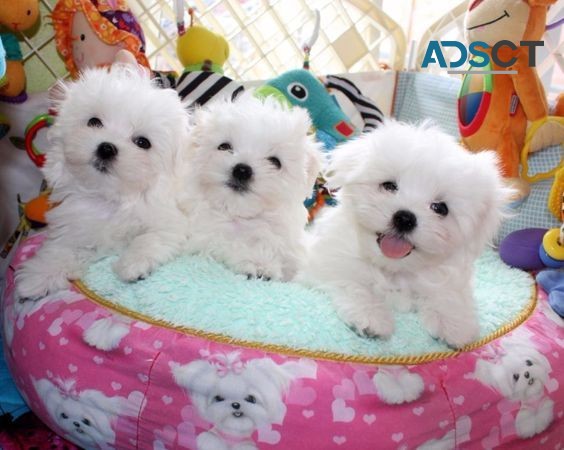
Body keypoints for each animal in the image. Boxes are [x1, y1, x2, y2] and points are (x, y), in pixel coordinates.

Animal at [16, 63, 189, 300]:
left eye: (143, 142)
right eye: (94, 122)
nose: (106, 148)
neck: (109, 197)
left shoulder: (170, 221)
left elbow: (151, 237)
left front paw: (133, 265)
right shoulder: (74, 224)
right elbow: (60, 248)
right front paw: (38, 276)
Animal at [181, 93, 322, 280]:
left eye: (275, 162)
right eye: (224, 146)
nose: (242, 170)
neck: (242, 218)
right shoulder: (203, 239)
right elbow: (226, 245)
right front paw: (258, 263)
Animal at [302, 120, 512, 348]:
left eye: (441, 208)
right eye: (389, 186)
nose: (404, 218)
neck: (394, 269)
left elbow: (448, 294)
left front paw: (454, 325)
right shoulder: (329, 260)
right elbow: (353, 283)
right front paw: (371, 317)